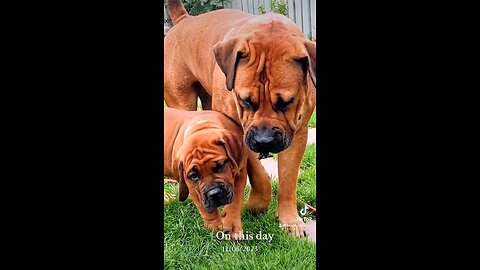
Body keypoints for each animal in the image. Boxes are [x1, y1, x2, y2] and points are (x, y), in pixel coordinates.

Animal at [164, 107, 248, 238]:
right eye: (194, 176)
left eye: (220, 166)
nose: (214, 194)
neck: (202, 126)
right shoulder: (193, 188)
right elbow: (206, 210)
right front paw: (215, 228)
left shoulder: (240, 171)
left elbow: (236, 200)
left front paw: (232, 224)